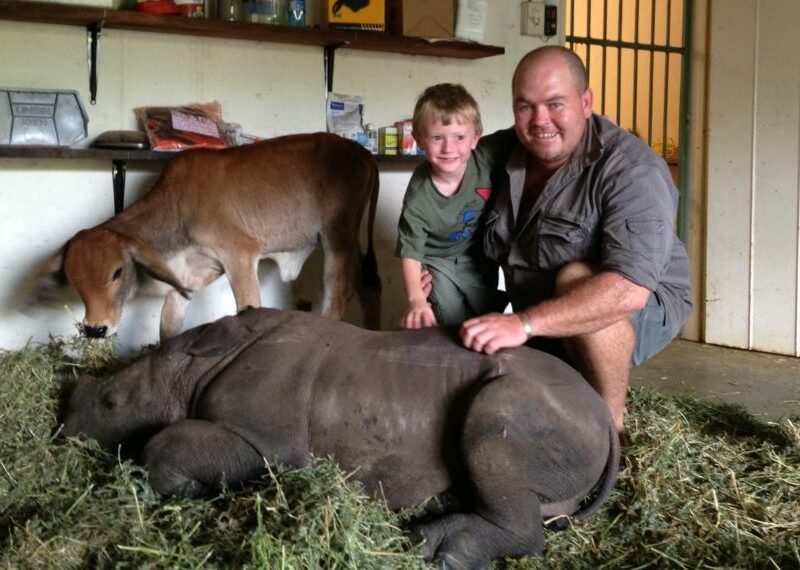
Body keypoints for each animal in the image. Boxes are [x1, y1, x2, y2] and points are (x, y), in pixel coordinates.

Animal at [32, 133, 381, 340]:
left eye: (117, 272)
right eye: (74, 280)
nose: (96, 328)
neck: (176, 207)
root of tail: (363, 153)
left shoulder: (240, 256)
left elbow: (249, 306)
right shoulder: (188, 276)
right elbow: (168, 325)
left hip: (337, 237)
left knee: (338, 294)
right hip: (353, 242)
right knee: (368, 287)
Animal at [62, 307, 620, 570]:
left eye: (111, 405)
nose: (65, 430)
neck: (196, 366)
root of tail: (602, 412)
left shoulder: (267, 444)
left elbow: (165, 443)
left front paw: (186, 489)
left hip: (534, 409)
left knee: (493, 435)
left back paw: (441, 552)